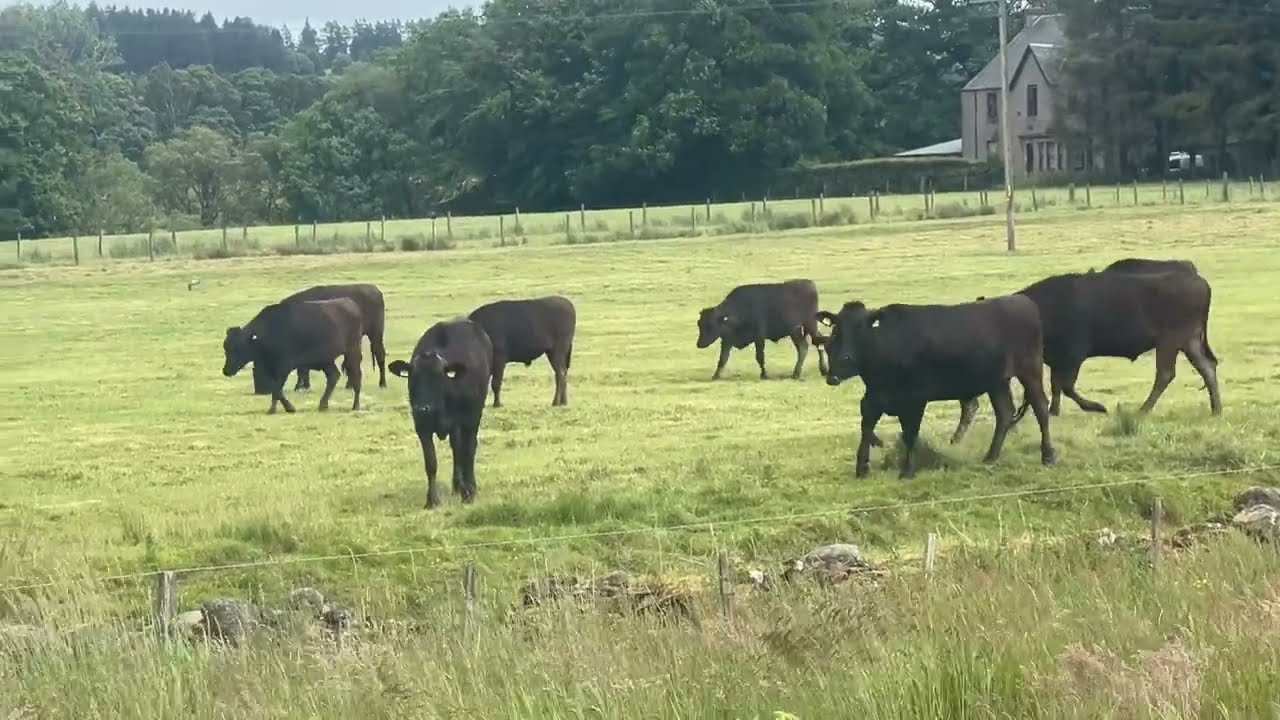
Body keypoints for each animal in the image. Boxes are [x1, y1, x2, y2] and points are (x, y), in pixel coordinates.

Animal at [223, 298, 365, 414]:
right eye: (226, 348)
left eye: (237, 348)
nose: (226, 371)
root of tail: (349, 303)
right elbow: (276, 388)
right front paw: (287, 408)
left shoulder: (284, 366)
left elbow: (277, 388)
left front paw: (276, 409)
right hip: (326, 360)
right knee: (333, 376)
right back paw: (323, 405)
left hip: (353, 352)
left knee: (356, 376)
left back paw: (355, 406)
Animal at [251, 283, 388, 394]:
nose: (259, 390)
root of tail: (374, 289)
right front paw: (303, 386)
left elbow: (302, 368)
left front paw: (299, 386)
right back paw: (349, 385)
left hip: (375, 334)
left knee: (379, 355)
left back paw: (383, 384)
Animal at [389, 318, 493, 509]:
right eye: (413, 377)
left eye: (438, 377)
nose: (423, 408)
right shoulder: (422, 427)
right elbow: (431, 463)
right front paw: (432, 500)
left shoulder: (468, 420)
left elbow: (468, 453)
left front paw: (469, 494)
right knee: (456, 448)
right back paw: (457, 485)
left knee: (466, 451)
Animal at [696, 279, 828, 381]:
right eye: (699, 324)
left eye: (710, 325)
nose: (699, 344)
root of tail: (809, 284)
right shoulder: (727, 340)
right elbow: (723, 358)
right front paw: (715, 376)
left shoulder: (759, 337)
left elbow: (760, 357)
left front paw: (764, 374)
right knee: (816, 343)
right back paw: (823, 370)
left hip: (801, 328)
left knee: (804, 347)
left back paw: (796, 373)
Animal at [818, 295, 1056, 480]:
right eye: (837, 329)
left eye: (861, 328)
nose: (843, 360)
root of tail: (1022, 301)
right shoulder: (873, 398)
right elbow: (866, 429)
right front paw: (862, 469)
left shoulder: (915, 398)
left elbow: (910, 434)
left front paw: (907, 471)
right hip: (996, 381)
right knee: (1005, 414)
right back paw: (990, 457)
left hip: (1030, 370)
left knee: (1041, 407)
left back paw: (1048, 456)